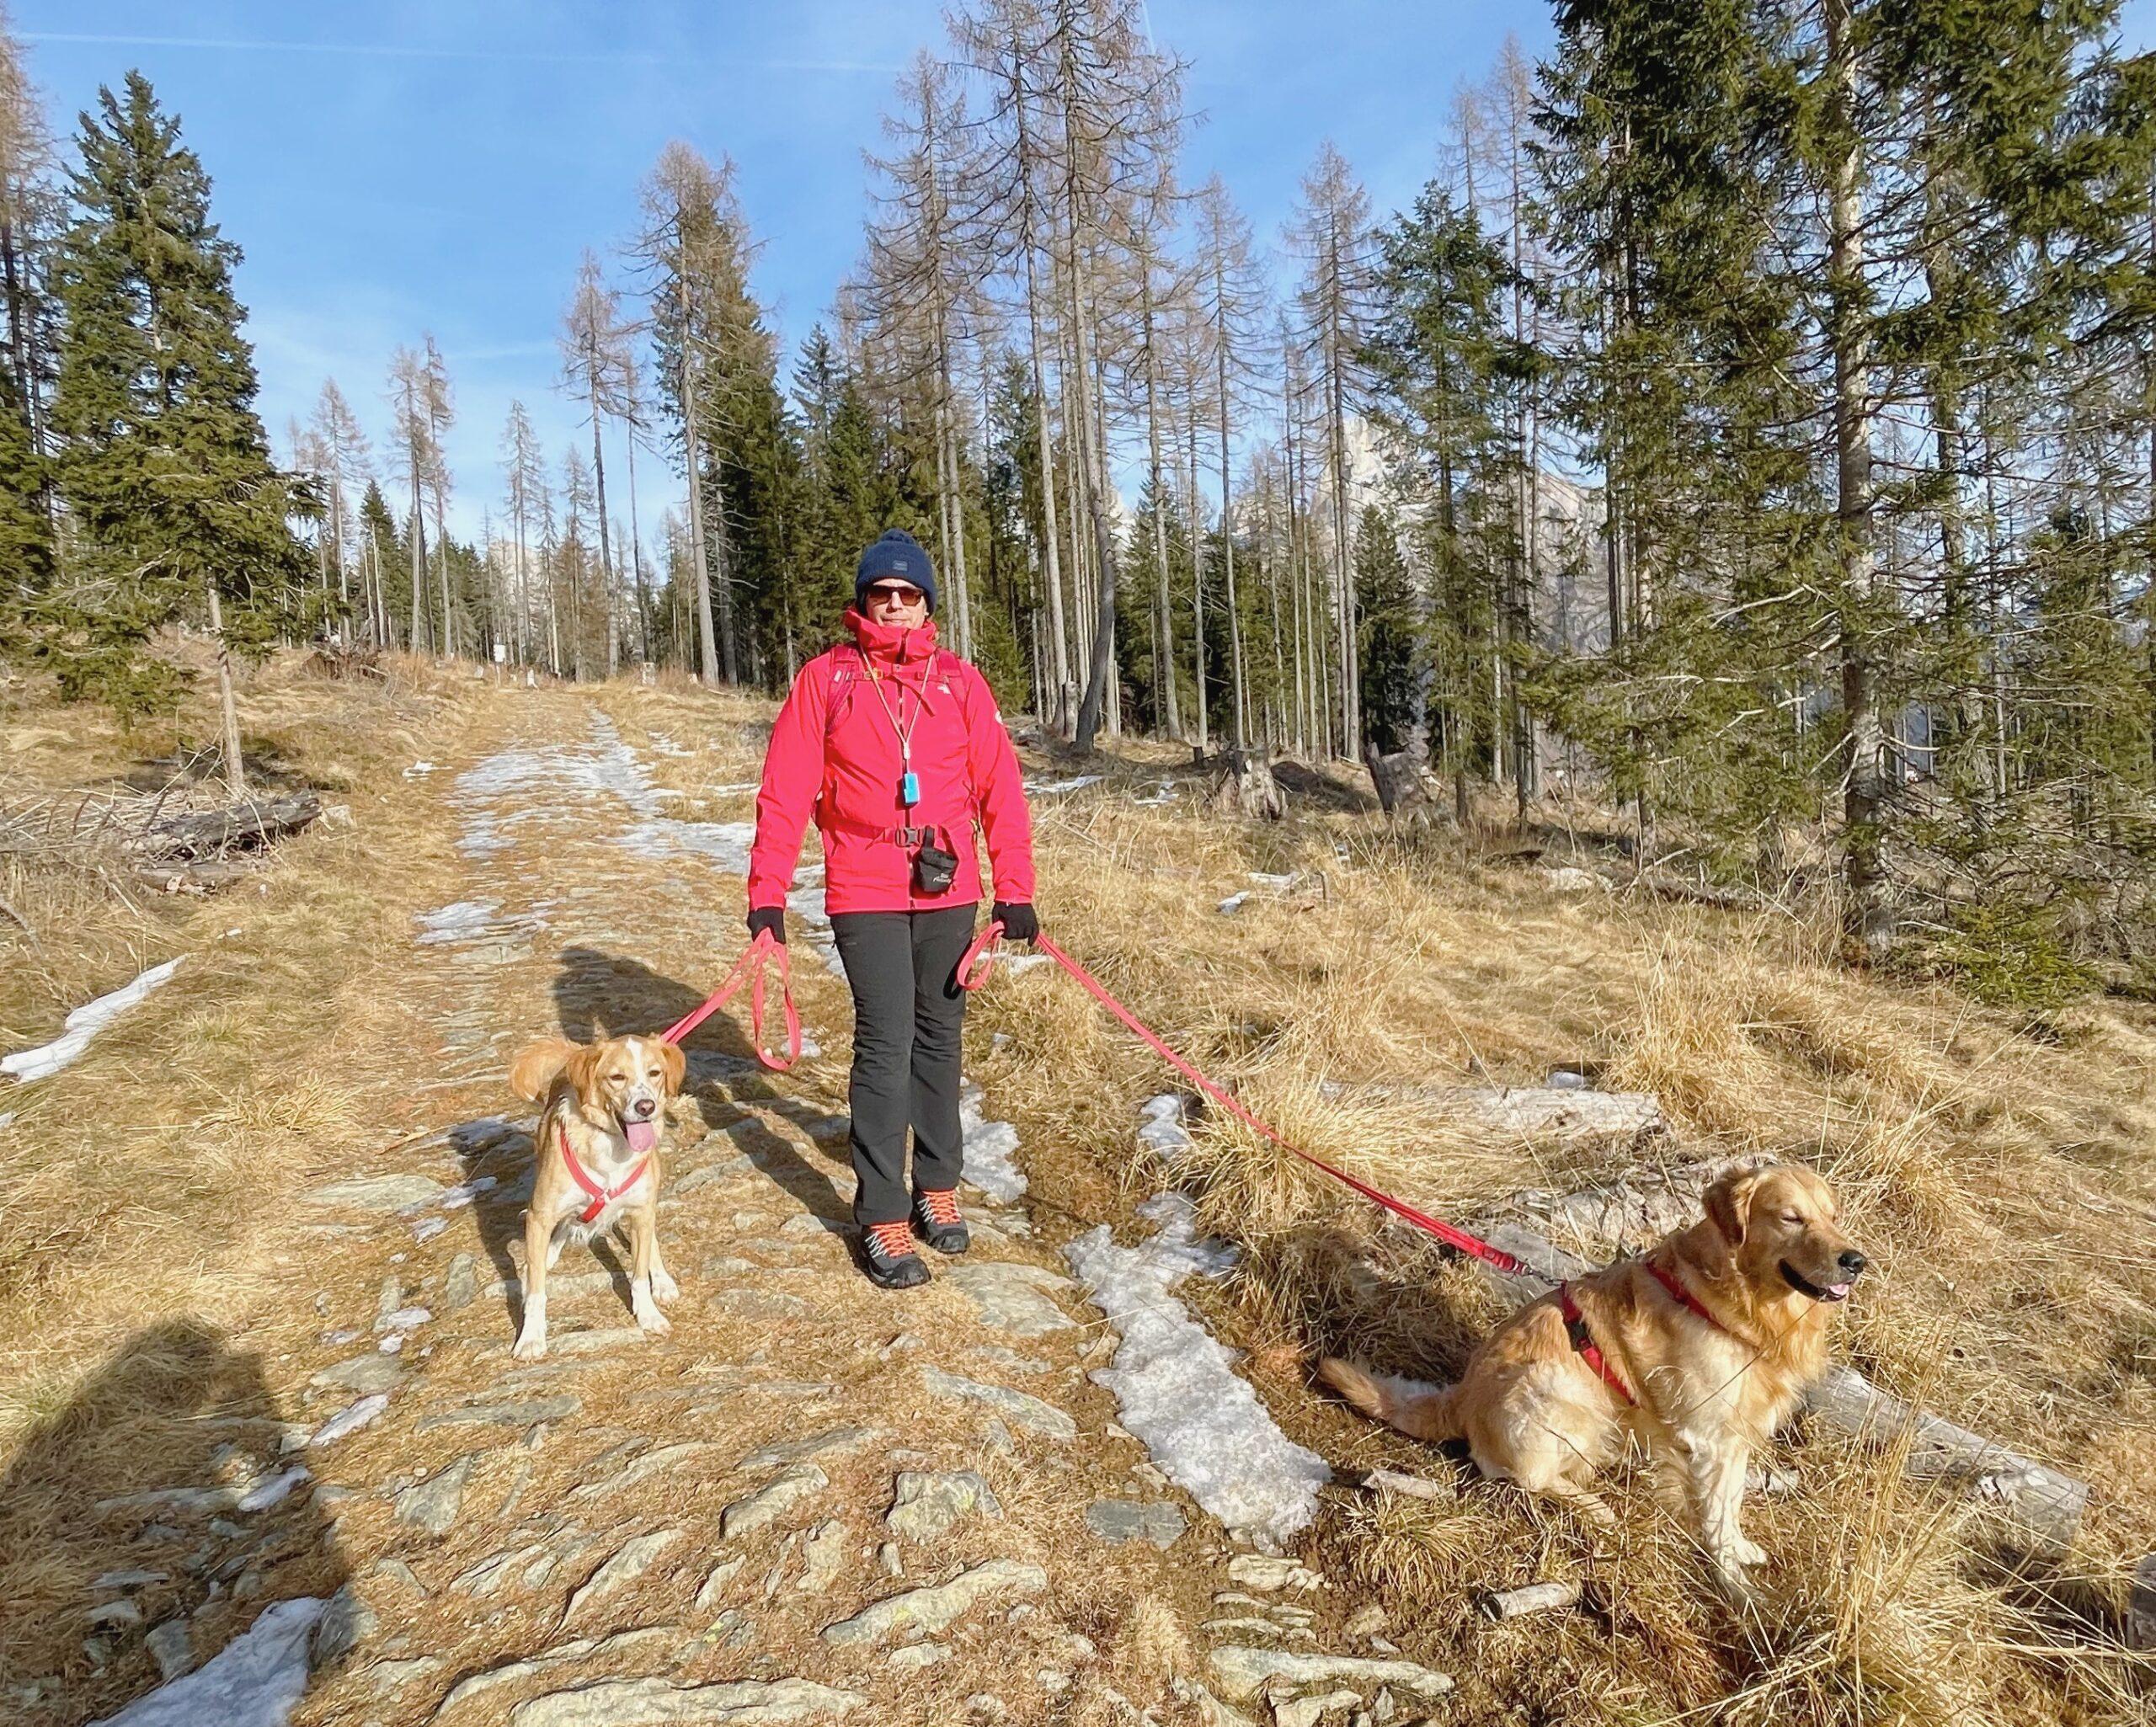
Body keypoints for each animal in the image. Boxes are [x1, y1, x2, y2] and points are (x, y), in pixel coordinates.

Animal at [502, 1030, 680, 1354]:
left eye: (655, 1073)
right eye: (617, 1077)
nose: (646, 1107)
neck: (613, 1146)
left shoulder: (641, 1212)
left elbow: (639, 1275)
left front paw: (648, 1315)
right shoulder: (540, 1215)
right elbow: (536, 1291)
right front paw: (531, 1337)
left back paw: (662, 1280)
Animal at [1310, 1164, 1871, 1595]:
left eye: (1834, 1217)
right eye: (1791, 1218)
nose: (1856, 1261)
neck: (1737, 1304)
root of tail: (1462, 1398)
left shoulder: (1735, 1435)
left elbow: (1730, 1503)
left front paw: (1739, 1550)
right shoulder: (1709, 1434)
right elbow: (1715, 1513)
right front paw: (1736, 1588)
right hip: (1559, 1390)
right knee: (1527, 1477)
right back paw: (1595, 1507)